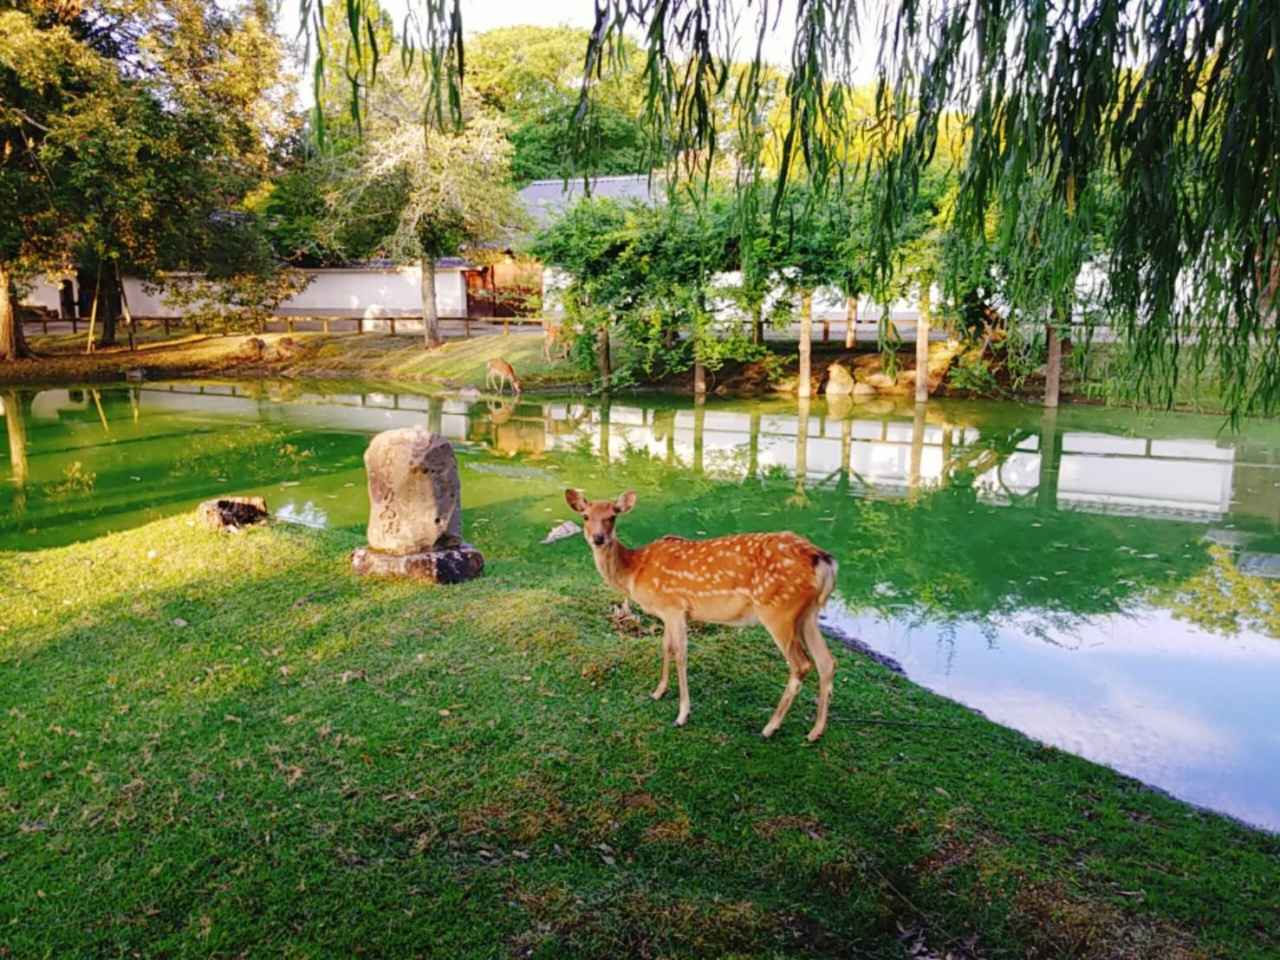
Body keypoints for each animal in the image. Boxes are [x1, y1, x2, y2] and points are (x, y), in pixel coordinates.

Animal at [564, 489, 839, 741]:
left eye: (612, 516)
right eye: (585, 516)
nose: (598, 538)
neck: (635, 571)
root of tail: (824, 562)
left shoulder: (675, 607)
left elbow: (681, 655)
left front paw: (682, 714)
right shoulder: (667, 612)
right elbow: (665, 647)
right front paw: (658, 692)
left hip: (778, 610)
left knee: (801, 664)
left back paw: (770, 728)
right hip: (808, 614)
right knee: (827, 661)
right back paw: (815, 732)